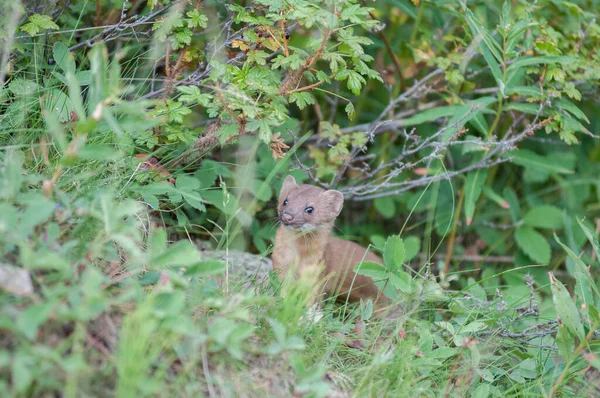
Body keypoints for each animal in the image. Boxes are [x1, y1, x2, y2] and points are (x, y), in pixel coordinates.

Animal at [270, 176, 382, 304]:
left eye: (310, 209)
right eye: (285, 201)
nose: (287, 216)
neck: (295, 256)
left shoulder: (316, 272)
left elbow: (312, 300)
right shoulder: (280, 264)